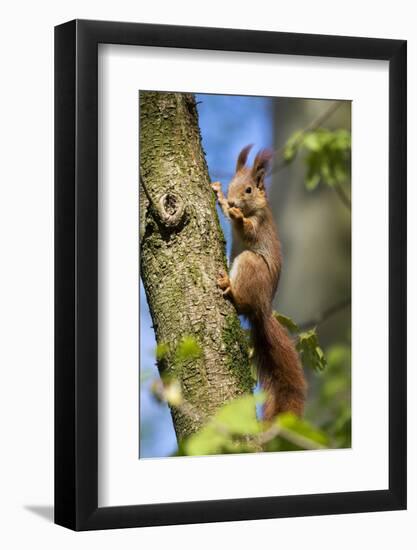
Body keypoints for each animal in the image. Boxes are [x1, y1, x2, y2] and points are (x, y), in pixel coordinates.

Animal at [211, 144, 306, 420]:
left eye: (249, 190)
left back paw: (229, 287)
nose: (233, 201)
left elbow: (248, 229)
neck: (253, 209)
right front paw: (219, 195)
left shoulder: (259, 223)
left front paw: (236, 215)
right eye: (231, 184)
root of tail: (262, 308)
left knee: (241, 301)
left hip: (249, 264)